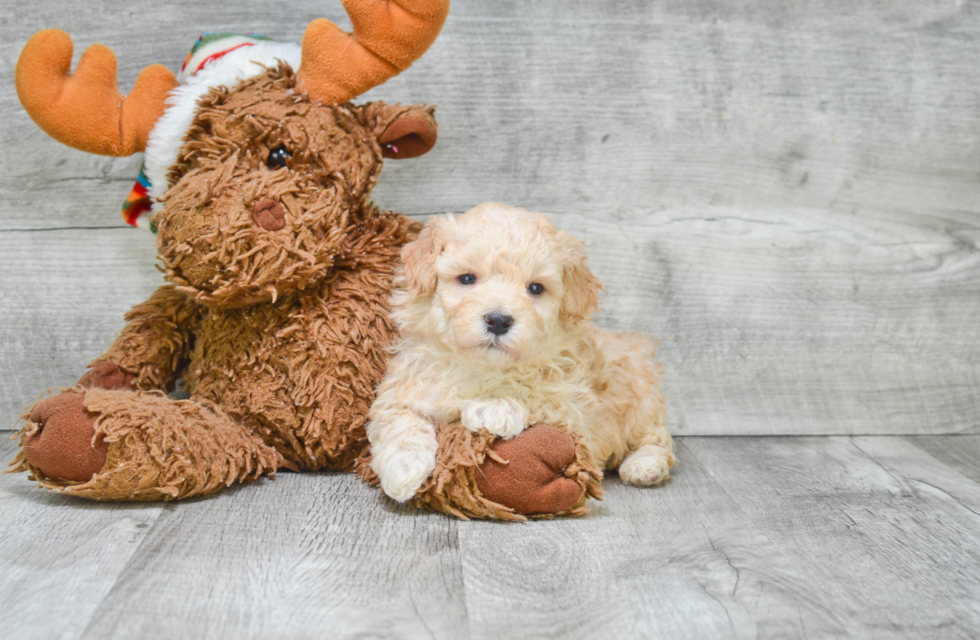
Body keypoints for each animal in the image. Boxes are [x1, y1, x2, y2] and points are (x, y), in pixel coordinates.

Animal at [368, 202, 672, 502]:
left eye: (535, 288)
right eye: (466, 278)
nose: (498, 320)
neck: (483, 368)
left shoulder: (579, 414)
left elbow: (538, 391)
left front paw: (495, 406)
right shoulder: (406, 383)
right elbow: (397, 416)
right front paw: (404, 465)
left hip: (638, 395)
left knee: (657, 439)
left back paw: (644, 465)